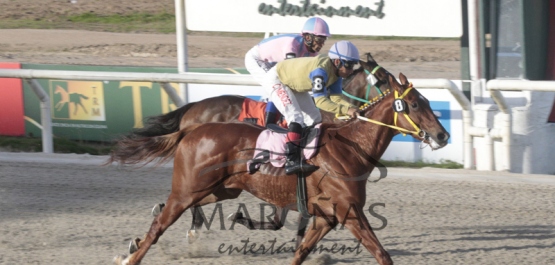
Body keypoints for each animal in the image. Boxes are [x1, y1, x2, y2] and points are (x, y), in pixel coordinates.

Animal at [109, 71, 452, 264]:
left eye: (427, 101)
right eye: (415, 104)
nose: (442, 135)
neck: (349, 146)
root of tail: (192, 127)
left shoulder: (325, 216)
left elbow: (300, 251)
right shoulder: (348, 211)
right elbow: (381, 253)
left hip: (221, 189)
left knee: (177, 211)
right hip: (187, 190)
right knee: (159, 226)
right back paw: (131, 255)